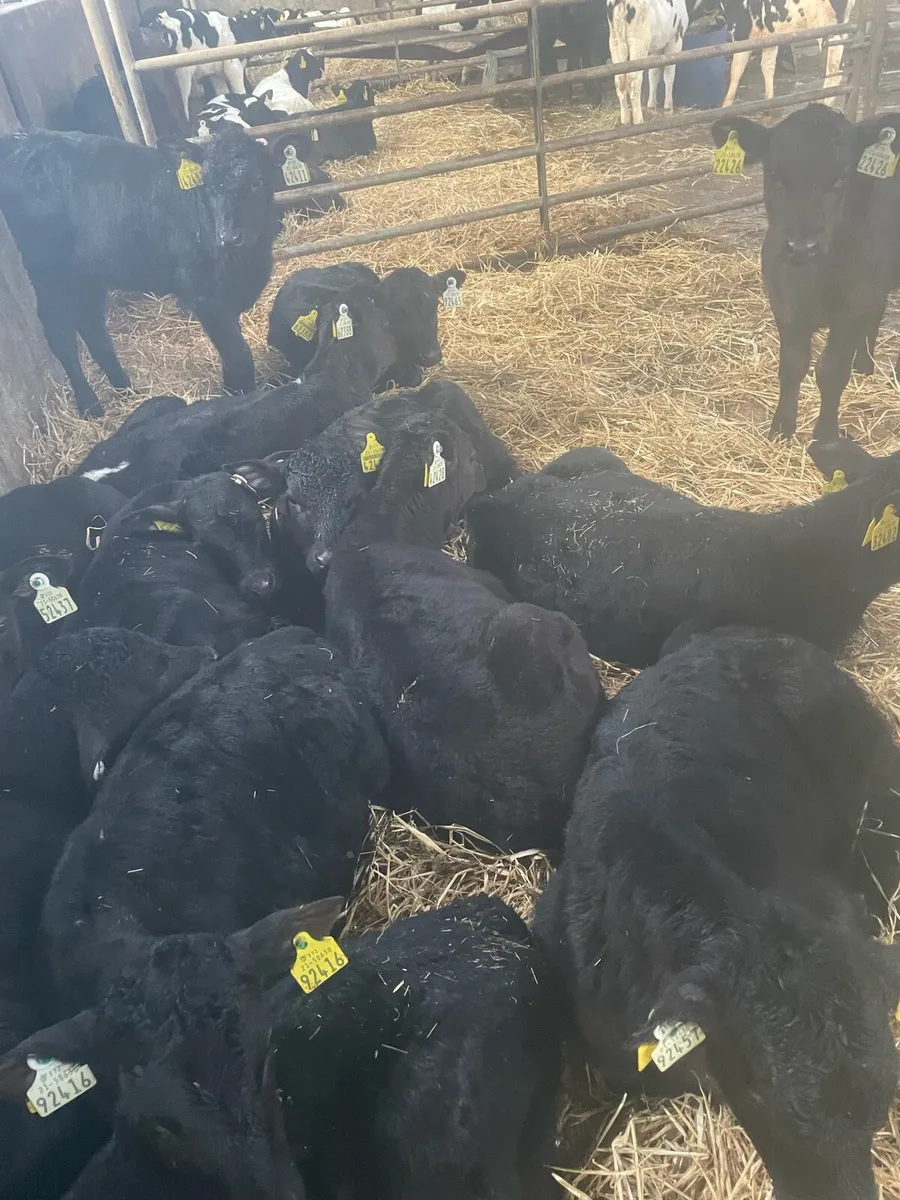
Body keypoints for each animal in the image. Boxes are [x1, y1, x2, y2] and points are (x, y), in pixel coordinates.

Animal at [0, 126, 278, 418]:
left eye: (257, 181)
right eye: (209, 187)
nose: (229, 237)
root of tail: (22, 139)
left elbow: (230, 353)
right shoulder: (205, 297)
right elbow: (238, 355)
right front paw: (238, 396)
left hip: (85, 273)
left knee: (91, 324)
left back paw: (124, 386)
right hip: (48, 271)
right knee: (60, 333)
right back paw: (89, 405)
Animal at [712, 106, 900, 441]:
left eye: (842, 176)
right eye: (775, 174)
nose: (802, 246)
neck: (813, 281)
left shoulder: (855, 306)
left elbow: (831, 372)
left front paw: (825, 435)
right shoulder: (784, 302)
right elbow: (792, 365)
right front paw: (781, 428)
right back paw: (864, 364)